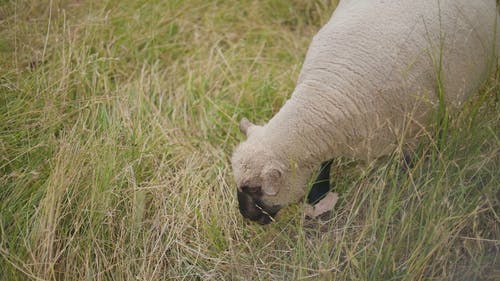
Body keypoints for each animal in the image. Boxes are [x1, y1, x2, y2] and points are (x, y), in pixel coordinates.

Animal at [232, 0, 498, 223]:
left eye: (254, 189)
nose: (248, 217)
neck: (325, 95)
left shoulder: (414, 128)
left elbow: (408, 165)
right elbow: (325, 162)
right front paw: (318, 194)